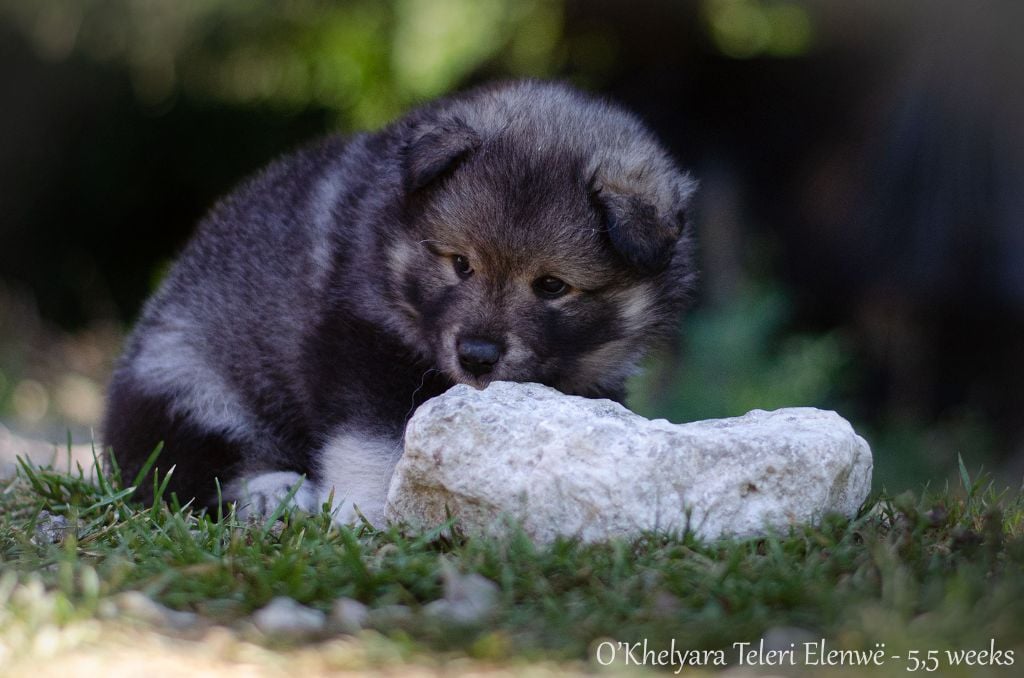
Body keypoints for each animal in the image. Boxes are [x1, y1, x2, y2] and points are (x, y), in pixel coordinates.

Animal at [102, 80, 697, 524]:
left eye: (552, 286)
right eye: (460, 263)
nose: (476, 356)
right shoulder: (366, 345)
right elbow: (374, 445)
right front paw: (367, 515)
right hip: (183, 385)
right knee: (182, 466)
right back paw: (273, 492)